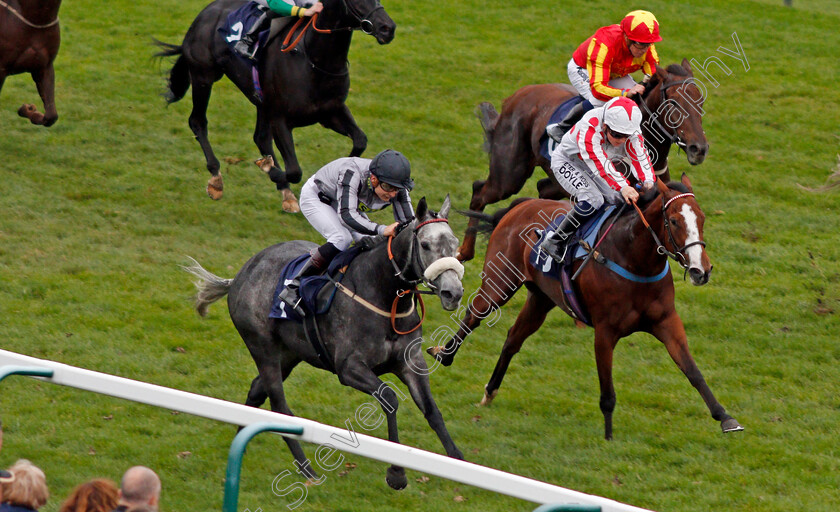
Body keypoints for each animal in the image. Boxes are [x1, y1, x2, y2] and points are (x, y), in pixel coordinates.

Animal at [156, 0, 396, 210]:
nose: (388, 28)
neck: (314, 60)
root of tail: (203, 14)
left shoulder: (330, 112)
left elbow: (360, 141)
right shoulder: (281, 119)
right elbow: (295, 170)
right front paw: (270, 168)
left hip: (261, 103)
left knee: (260, 138)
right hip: (203, 76)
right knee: (198, 121)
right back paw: (216, 178)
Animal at [182, 196, 466, 488]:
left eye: (455, 244)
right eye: (425, 244)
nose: (453, 293)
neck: (383, 294)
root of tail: (240, 274)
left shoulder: (411, 362)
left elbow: (431, 409)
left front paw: (458, 462)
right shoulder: (349, 368)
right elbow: (388, 398)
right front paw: (396, 473)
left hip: (289, 355)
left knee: (257, 389)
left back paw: (243, 434)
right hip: (263, 348)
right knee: (278, 405)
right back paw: (307, 469)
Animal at [430, 177, 744, 440]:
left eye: (701, 218)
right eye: (676, 221)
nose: (701, 270)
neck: (634, 258)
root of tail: (522, 205)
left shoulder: (667, 322)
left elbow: (693, 371)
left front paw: (725, 417)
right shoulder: (605, 331)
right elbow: (607, 391)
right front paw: (608, 438)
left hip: (541, 299)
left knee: (513, 338)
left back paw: (490, 390)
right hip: (500, 283)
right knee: (474, 315)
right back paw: (445, 354)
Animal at [460, 58, 708, 262]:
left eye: (700, 101)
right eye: (674, 103)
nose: (699, 149)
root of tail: (516, 96)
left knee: (542, 189)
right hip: (510, 176)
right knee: (480, 191)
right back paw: (464, 252)